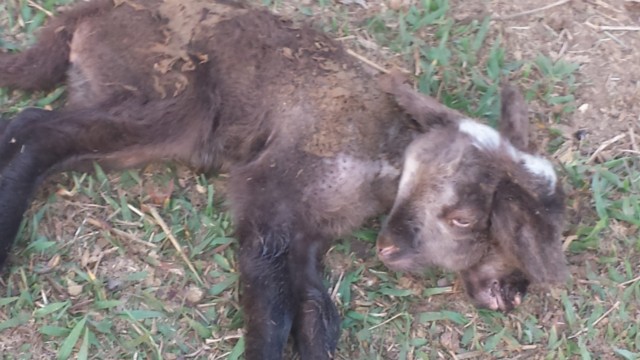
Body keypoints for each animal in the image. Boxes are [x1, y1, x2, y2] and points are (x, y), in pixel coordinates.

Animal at [0, 1, 568, 358]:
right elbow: (271, 314)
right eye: (466, 220)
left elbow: (315, 316)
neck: (383, 156)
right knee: (35, 131)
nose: (513, 294)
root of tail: (85, 14)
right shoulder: (268, 197)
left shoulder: (306, 233)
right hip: (169, 99)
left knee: (33, 130)